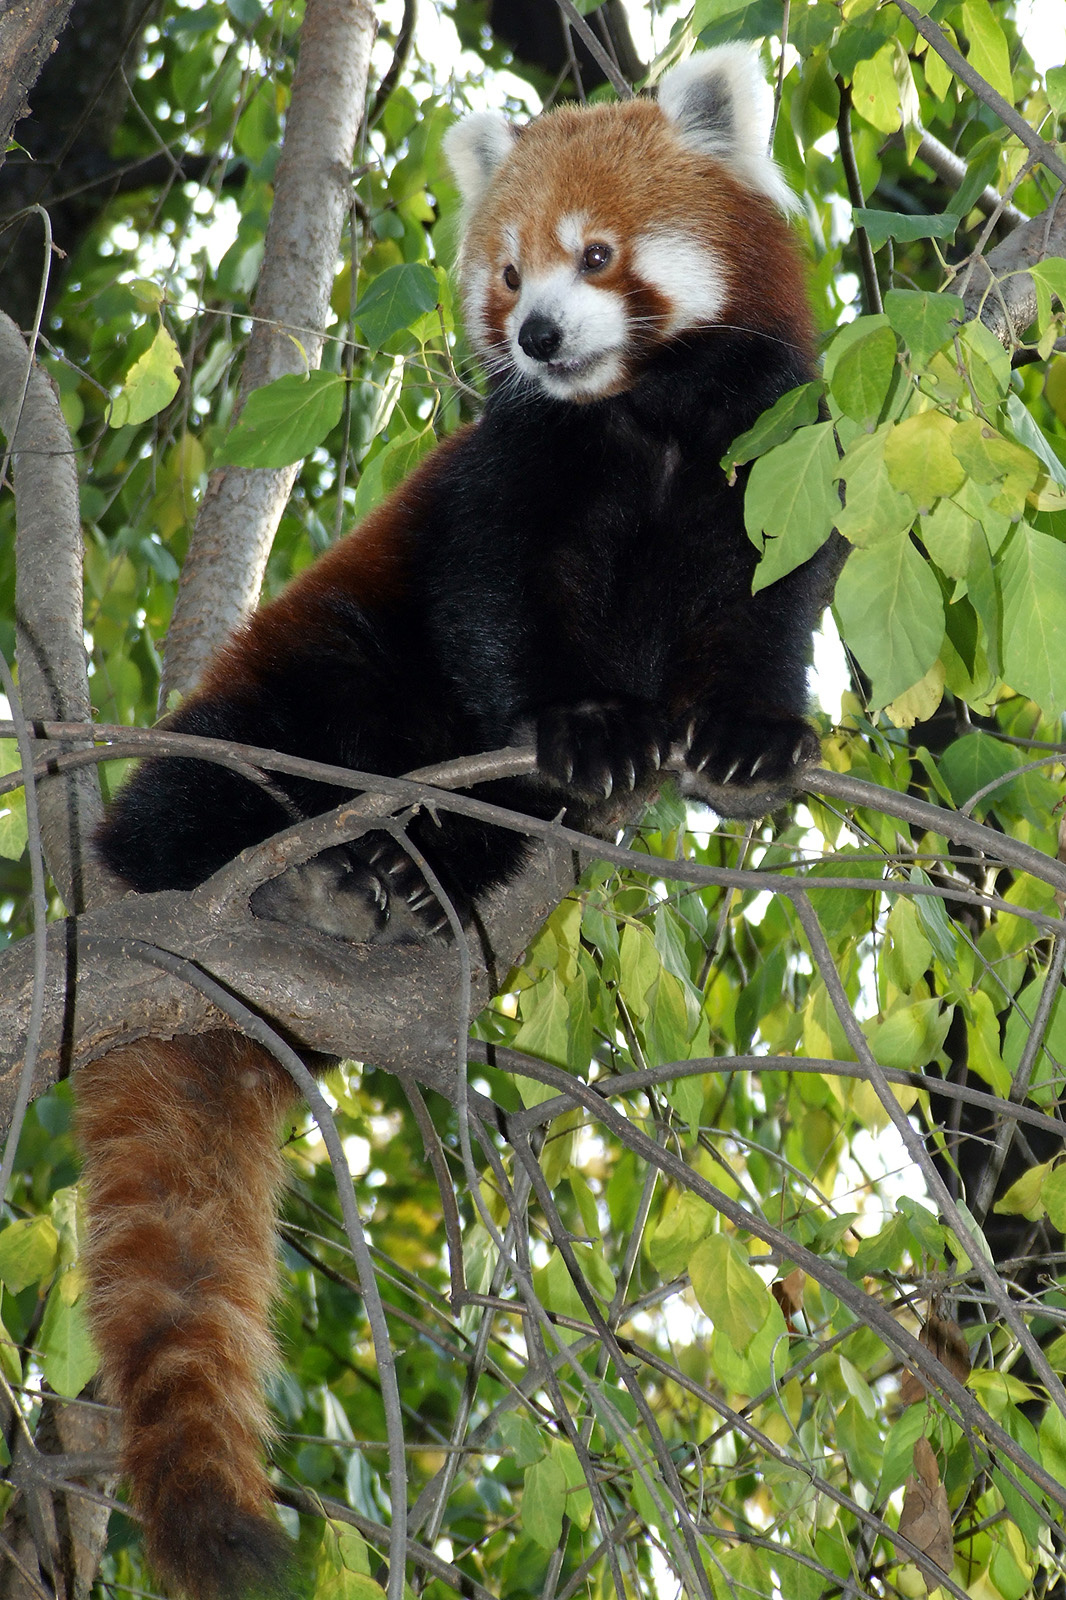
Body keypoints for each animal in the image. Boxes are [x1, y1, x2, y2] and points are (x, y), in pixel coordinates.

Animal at [78, 46, 832, 1600]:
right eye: (505, 271)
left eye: (595, 256)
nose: (536, 332)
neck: (639, 414)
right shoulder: (503, 482)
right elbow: (495, 610)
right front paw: (580, 725)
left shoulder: (773, 444)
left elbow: (777, 599)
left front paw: (747, 733)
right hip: (316, 668)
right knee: (241, 756)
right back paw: (236, 862)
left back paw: (399, 881)